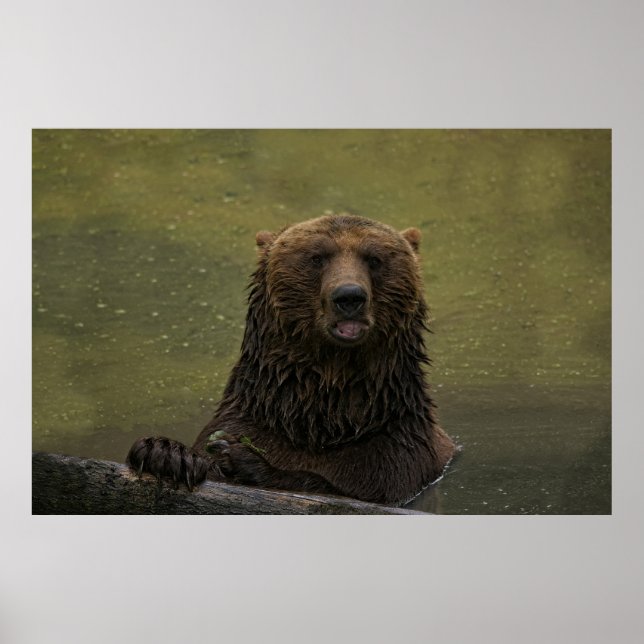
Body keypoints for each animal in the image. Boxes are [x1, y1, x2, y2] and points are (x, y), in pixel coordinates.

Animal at [127, 213, 456, 505]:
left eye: (374, 259)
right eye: (317, 257)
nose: (349, 296)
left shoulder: (397, 453)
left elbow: (345, 488)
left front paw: (242, 458)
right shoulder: (251, 423)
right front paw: (165, 453)